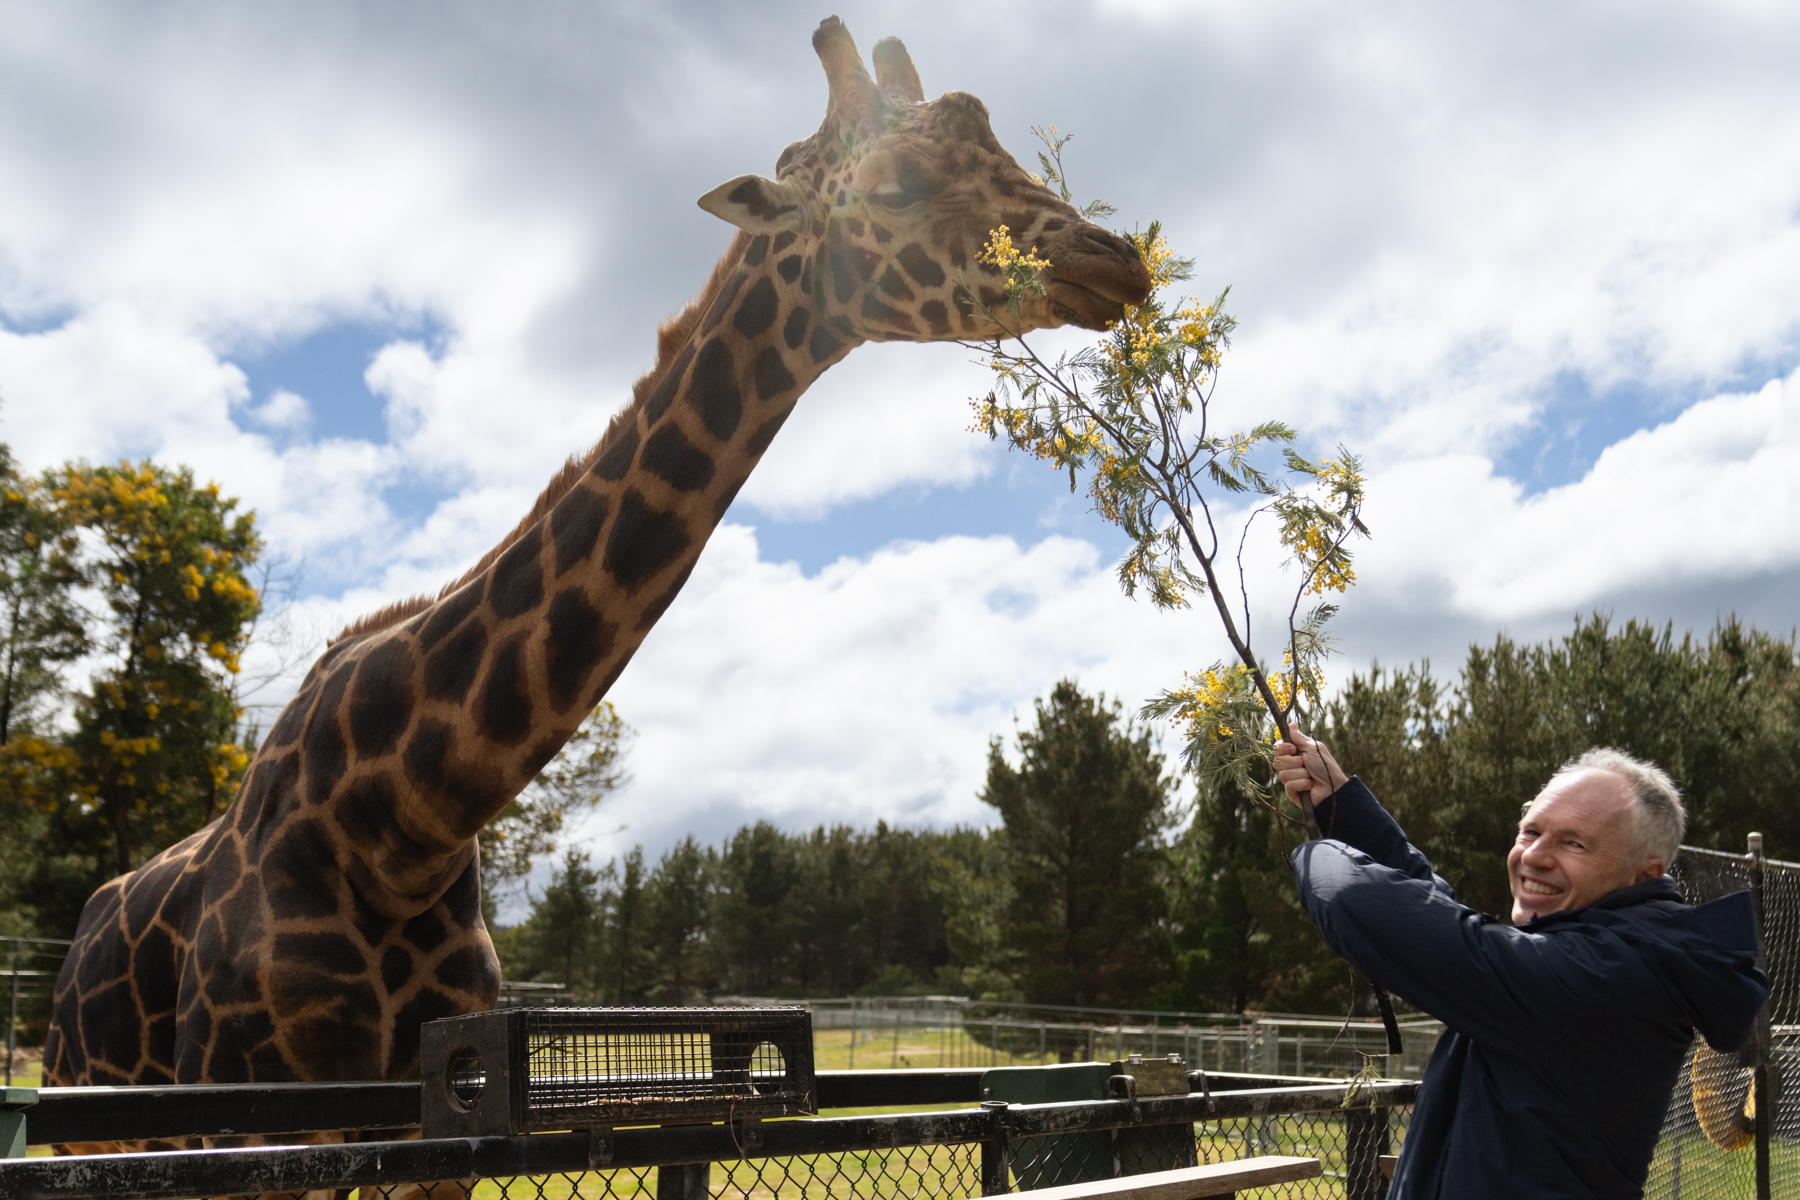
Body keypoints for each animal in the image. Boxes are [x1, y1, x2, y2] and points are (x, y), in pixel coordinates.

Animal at [44, 12, 1149, 1151]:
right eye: (890, 189)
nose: (1115, 260)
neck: (402, 821)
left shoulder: (430, 1122)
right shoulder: (258, 1114)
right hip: (102, 1124)